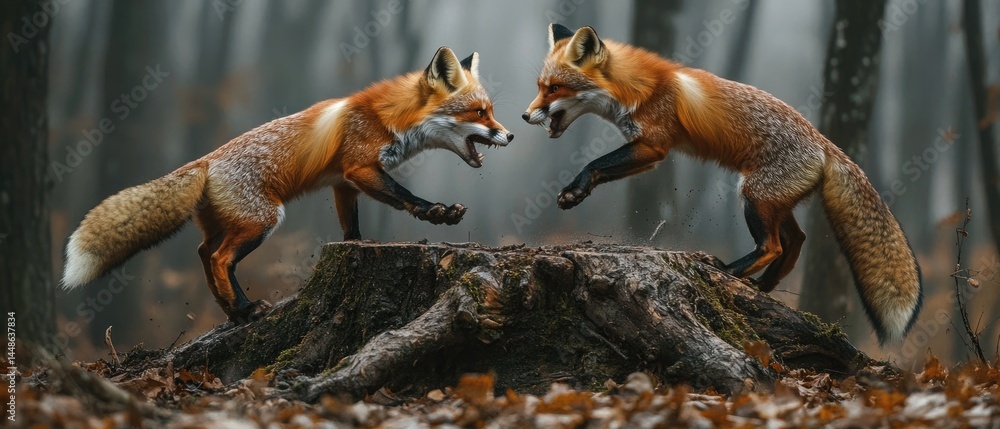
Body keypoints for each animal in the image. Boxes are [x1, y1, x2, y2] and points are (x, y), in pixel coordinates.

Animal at [62, 47, 513, 323]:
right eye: (479, 112)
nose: (509, 135)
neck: (391, 118)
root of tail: (204, 161)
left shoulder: (344, 183)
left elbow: (350, 227)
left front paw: (357, 245)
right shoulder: (360, 169)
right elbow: (403, 196)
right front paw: (436, 213)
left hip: (230, 223)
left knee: (204, 253)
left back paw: (233, 312)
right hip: (263, 219)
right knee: (220, 258)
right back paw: (245, 309)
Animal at [522, 24, 921, 345]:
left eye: (555, 88)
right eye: (540, 87)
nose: (526, 116)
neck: (637, 87)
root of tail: (826, 146)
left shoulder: (652, 146)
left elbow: (594, 163)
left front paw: (574, 190)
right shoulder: (646, 150)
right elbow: (601, 169)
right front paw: (576, 193)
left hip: (753, 196)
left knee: (772, 246)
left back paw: (727, 273)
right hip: (772, 201)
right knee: (797, 241)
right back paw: (761, 287)